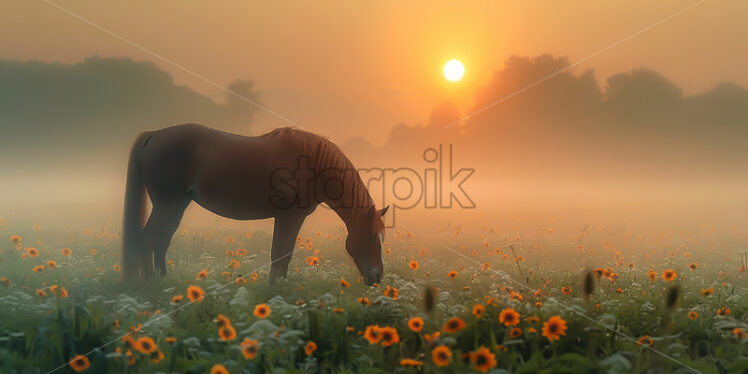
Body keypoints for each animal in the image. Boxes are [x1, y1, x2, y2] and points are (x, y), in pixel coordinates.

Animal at [120, 122, 388, 284]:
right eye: (371, 238)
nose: (377, 277)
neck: (314, 164)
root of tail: (154, 135)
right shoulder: (289, 217)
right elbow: (280, 253)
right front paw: (273, 288)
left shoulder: (292, 218)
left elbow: (285, 254)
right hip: (167, 207)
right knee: (147, 241)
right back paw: (152, 285)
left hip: (175, 208)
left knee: (160, 242)